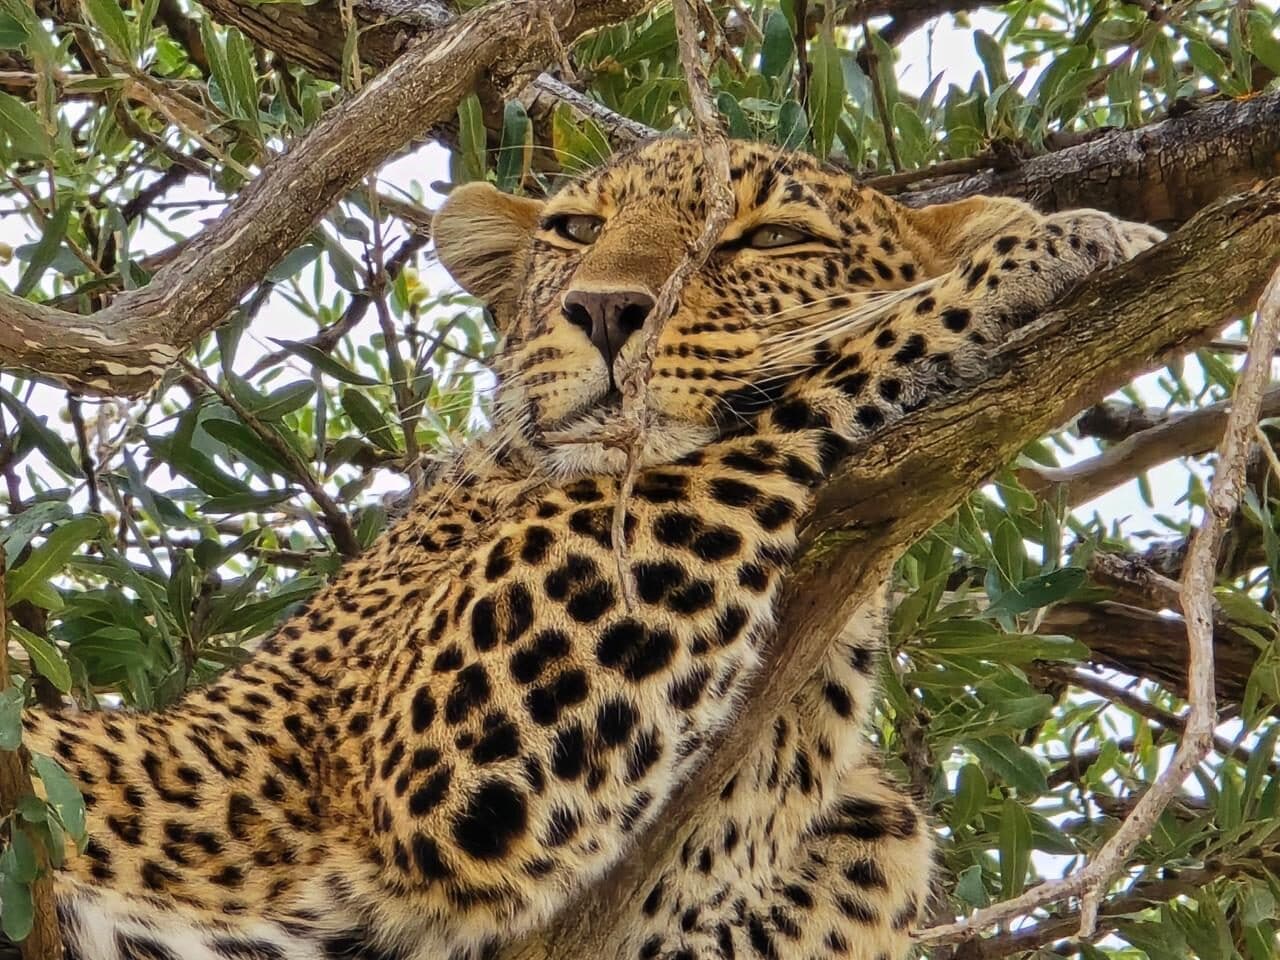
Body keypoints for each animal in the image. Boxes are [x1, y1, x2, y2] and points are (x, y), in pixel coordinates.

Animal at [5, 136, 1165, 960]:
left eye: (769, 241)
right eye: (572, 228)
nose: (605, 310)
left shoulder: (847, 841)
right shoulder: (403, 736)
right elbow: (804, 380)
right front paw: (1050, 247)